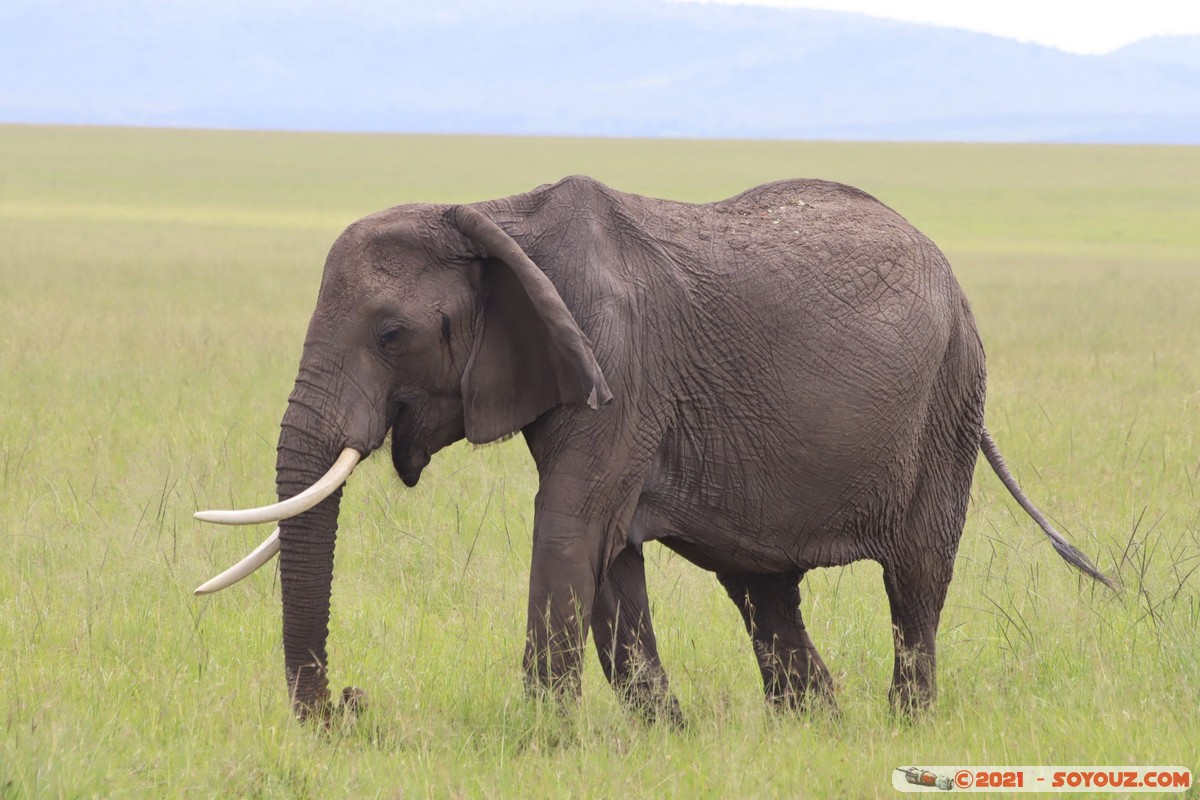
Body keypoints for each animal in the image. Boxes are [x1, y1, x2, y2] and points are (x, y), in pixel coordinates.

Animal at [194, 175, 1104, 724]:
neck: (500, 216)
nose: (350, 703)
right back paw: (817, 728)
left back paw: (897, 727)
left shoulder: (619, 366)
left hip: (949, 401)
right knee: (764, 592)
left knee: (914, 583)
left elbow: (569, 532)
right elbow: (608, 560)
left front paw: (541, 742)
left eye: (390, 334)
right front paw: (667, 737)